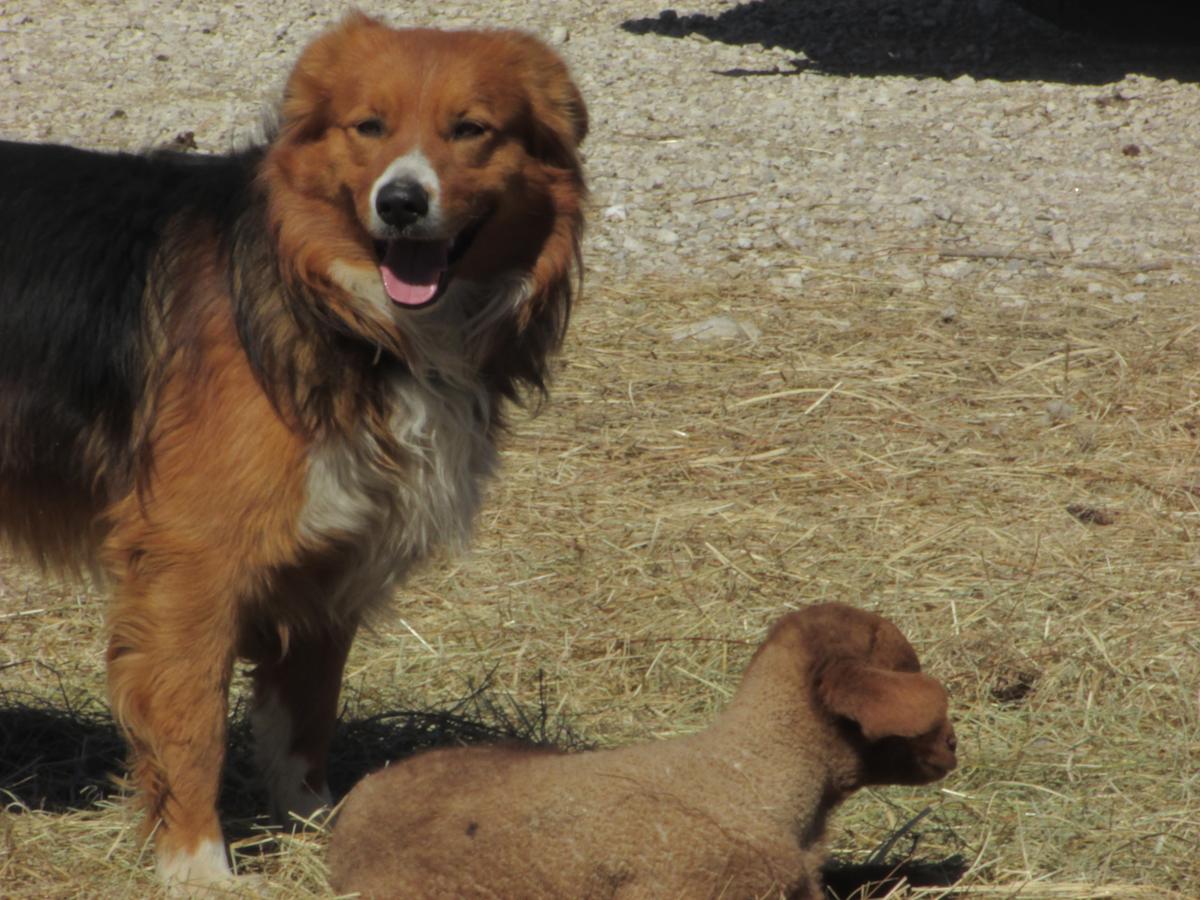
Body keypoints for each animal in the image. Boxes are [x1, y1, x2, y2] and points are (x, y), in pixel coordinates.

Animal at [0, 12, 585, 888]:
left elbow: (305, 714)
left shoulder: (331, 557)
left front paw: (315, 828)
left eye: (471, 130)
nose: (401, 203)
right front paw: (197, 865)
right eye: (369, 127)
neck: (342, 306)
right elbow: (193, 720)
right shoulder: (190, 561)